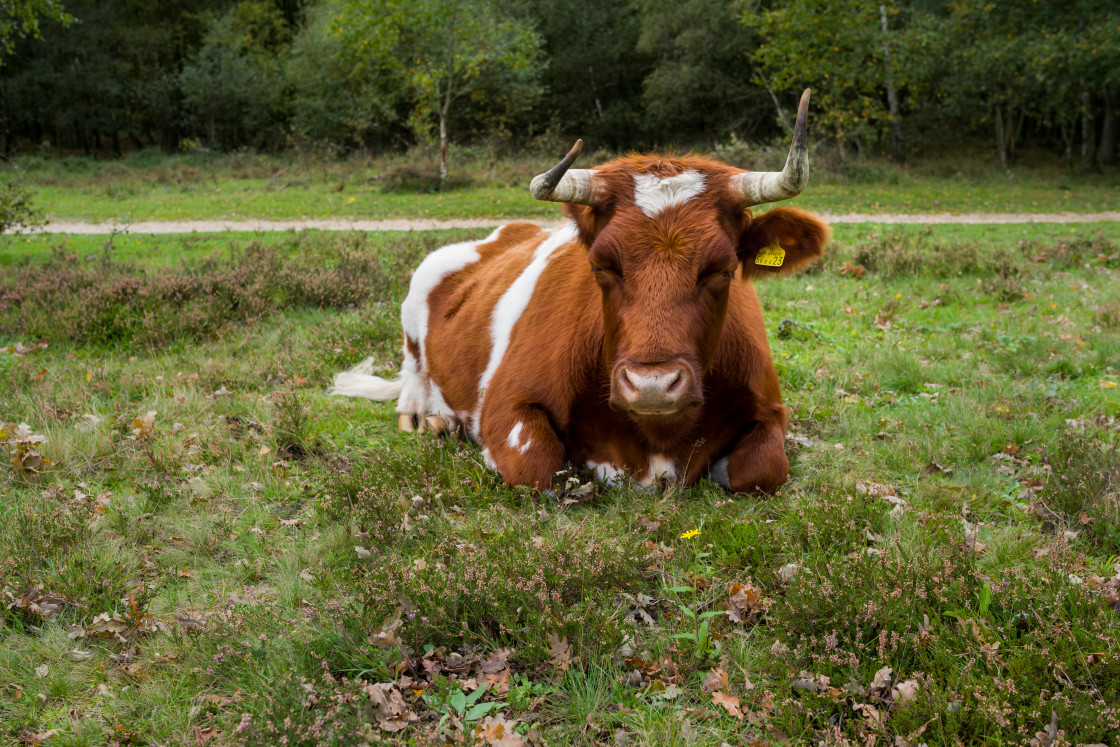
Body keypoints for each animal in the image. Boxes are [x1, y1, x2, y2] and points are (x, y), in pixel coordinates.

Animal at [331, 90, 833, 492]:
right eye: (601, 265)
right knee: (413, 377)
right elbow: (536, 466)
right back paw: (432, 418)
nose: (652, 387)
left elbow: (763, 469)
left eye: (722, 269)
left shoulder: (770, 409)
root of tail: (509, 231)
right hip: (417, 297)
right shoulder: (505, 402)